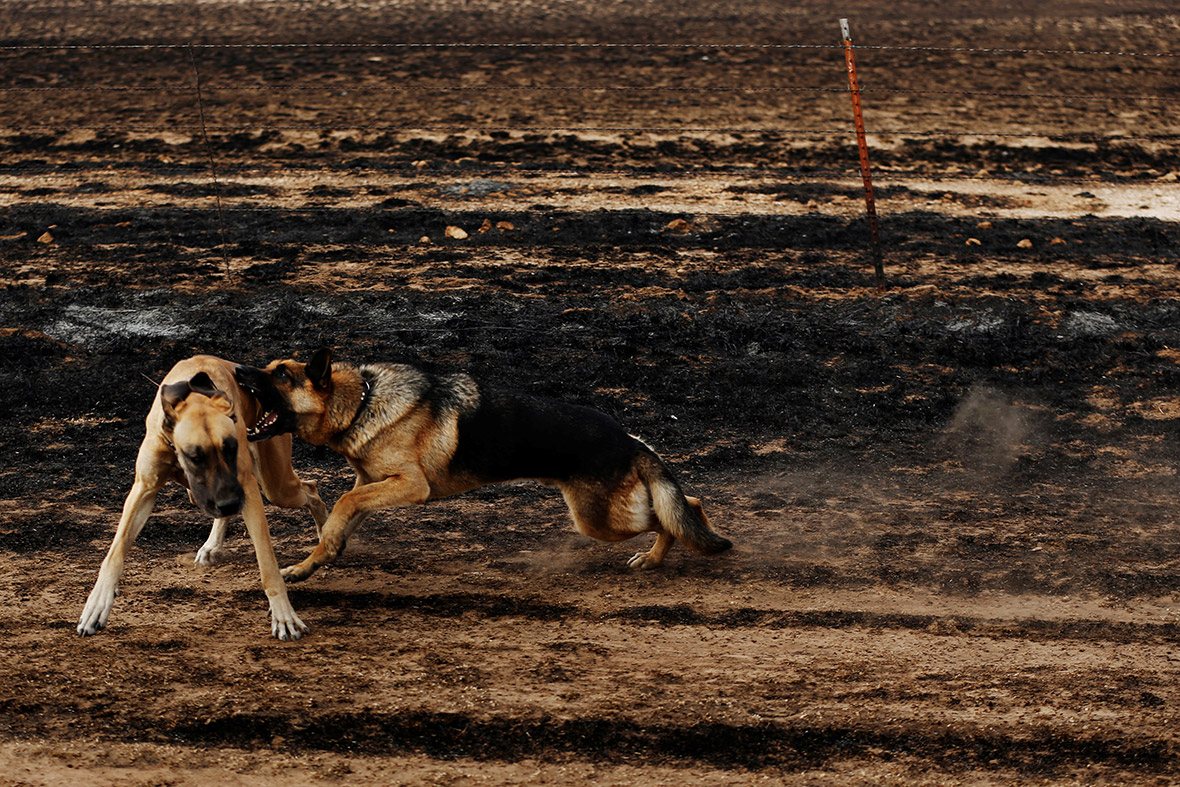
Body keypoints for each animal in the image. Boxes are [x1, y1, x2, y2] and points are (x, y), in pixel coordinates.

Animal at [77, 356, 328, 641]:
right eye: (195, 456)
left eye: (231, 449)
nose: (231, 502)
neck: (194, 392)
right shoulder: (143, 489)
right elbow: (115, 553)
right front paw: (97, 605)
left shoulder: (246, 488)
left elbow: (267, 564)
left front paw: (284, 616)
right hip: (205, 495)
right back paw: (212, 545)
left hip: (277, 487)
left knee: (311, 489)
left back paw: (325, 533)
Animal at [232, 346, 726, 582]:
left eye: (281, 375)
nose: (236, 369)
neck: (362, 402)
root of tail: (629, 440)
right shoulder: (372, 483)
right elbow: (342, 518)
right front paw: (318, 560)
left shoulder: (409, 485)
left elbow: (341, 505)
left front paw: (309, 562)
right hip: (604, 515)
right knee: (686, 504)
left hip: (598, 519)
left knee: (677, 512)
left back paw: (657, 557)